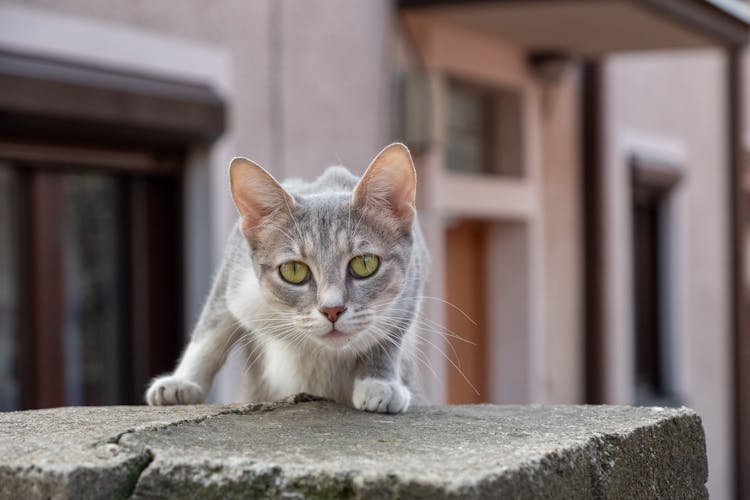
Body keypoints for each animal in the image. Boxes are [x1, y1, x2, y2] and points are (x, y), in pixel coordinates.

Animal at [147, 143, 428, 412]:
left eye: (364, 264)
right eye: (294, 270)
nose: (332, 310)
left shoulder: (413, 280)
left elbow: (390, 334)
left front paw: (379, 383)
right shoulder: (235, 273)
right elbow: (211, 327)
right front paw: (182, 382)